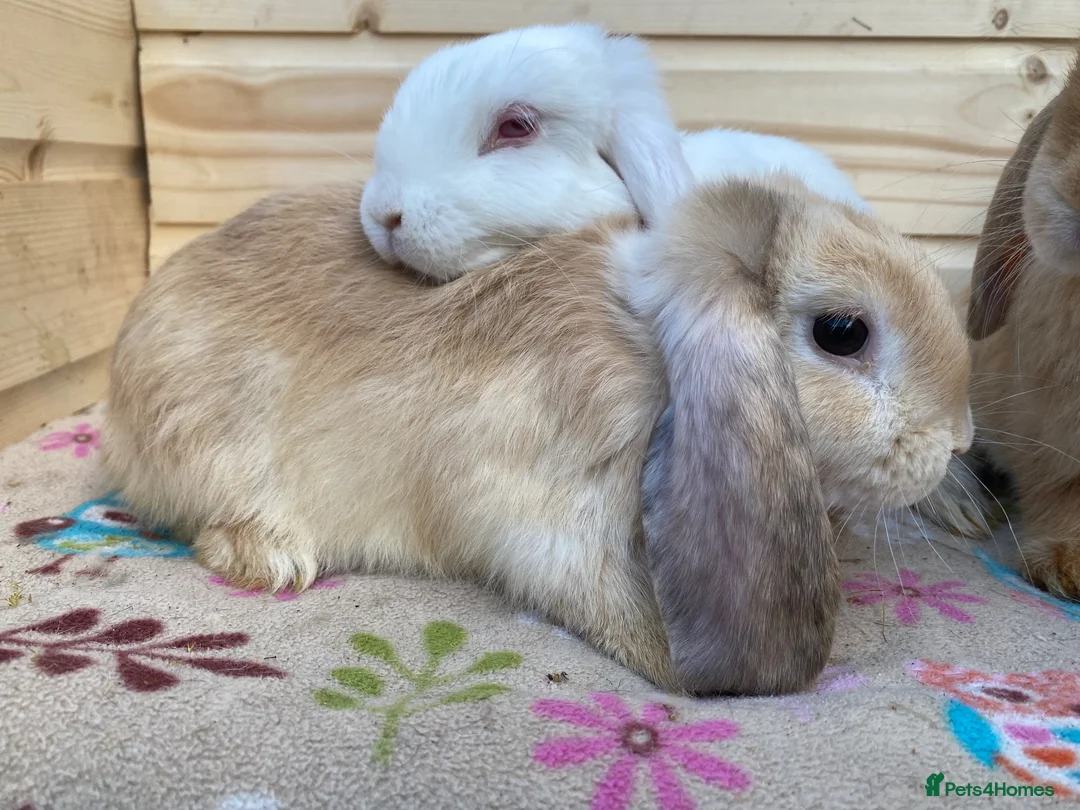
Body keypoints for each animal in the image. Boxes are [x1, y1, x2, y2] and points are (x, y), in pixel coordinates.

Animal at [103, 167, 973, 696]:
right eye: (841, 332)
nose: (959, 438)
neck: (645, 350)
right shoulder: (546, 514)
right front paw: (669, 661)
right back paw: (274, 554)